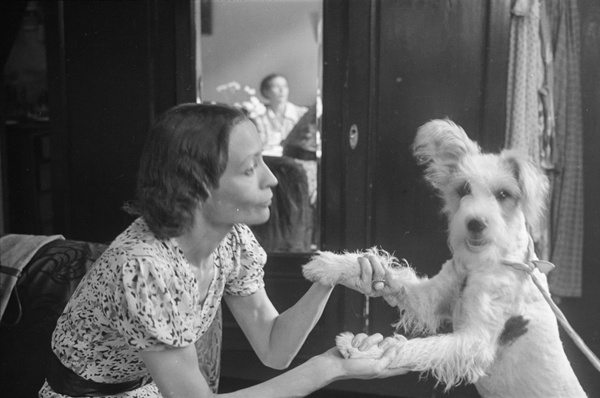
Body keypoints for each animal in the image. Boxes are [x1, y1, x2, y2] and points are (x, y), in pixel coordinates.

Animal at [302, 119, 584, 396]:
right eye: (464, 189)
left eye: (504, 194)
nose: (475, 223)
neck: (480, 264)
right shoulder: (430, 298)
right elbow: (390, 273)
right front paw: (328, 265)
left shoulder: (474, 341)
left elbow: (416, 347)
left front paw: (365, 351)